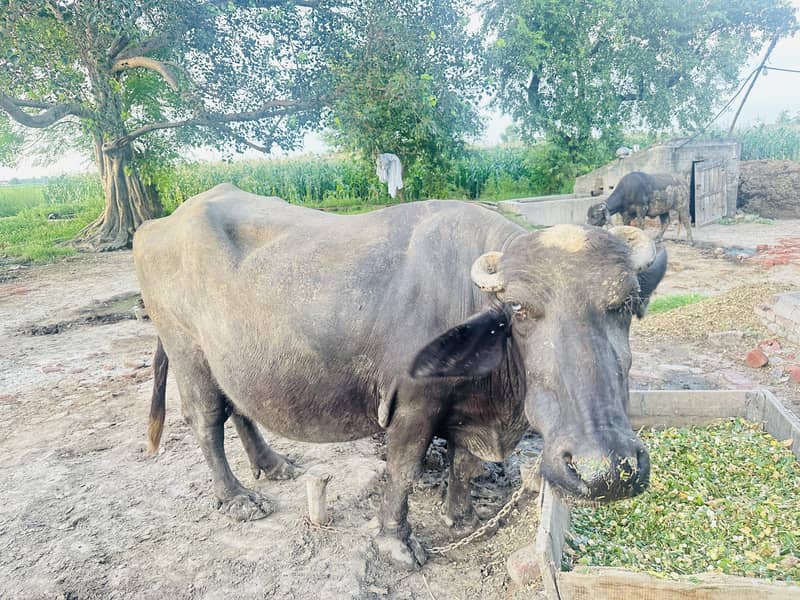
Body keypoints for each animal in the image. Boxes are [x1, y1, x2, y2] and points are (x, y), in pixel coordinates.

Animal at [134, 184, 667, 569]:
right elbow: (405, 470)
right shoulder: (412, 404)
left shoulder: (469, 409)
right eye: (519, 308)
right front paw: (396, 543)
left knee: (238, 407)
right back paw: (238, 498)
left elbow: (464, 462)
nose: (606, 470)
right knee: (206, 419)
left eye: (626, 304)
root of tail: (155, 227)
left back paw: (273, 464)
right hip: (187, 348)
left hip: (234, 358)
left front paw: (462, 516)